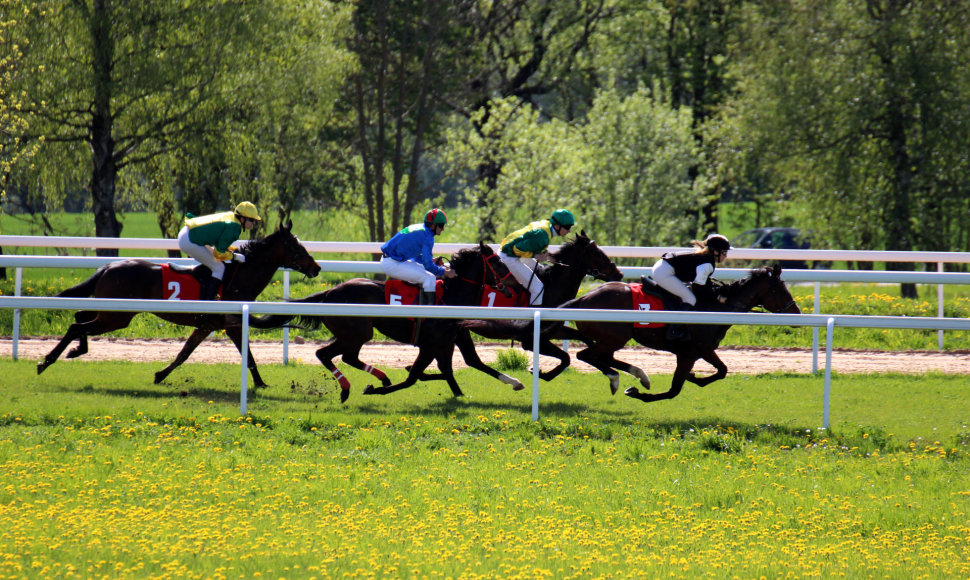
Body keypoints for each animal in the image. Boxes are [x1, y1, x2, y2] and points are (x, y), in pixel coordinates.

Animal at [36, 221, 322, 386]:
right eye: (296, 247)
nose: (316, 268)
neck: (238, 277)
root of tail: (108, 267)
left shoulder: (208, 325)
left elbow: (186, 352)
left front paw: (160, 375)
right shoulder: (231, 324)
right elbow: (247, 356)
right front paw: (261, 384)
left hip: (110, 310)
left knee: (79, 316)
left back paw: (76, 350)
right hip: (118, 315)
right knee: (77, 325)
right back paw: (46, 361)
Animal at [253, 242, 520, 402]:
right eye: (498, 263)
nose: (516, 286)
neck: (451, 296)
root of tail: (329, 293)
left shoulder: (449, 340)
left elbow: (465, 365)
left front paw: (513, 383)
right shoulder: (431, 345)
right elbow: (414, 377)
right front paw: (376, 389)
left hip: (357, 335)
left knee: (347, 357)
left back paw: (379, 378)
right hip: (356, 333)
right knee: (325, 354)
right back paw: (349, 388)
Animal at [420, 231, 624, 390]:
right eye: (596, 253)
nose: (619, 274)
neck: (551, 287)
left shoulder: (555, 329)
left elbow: (585, 341)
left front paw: (610, 369)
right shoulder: (530, 339)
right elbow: (566, 357)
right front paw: (539, 372)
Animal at [556, 266, 796, 402]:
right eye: (780, 289)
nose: (796, 312)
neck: (715, 307)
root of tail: (584, 298)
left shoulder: (701, 351)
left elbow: (722, 371)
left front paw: (694, 377)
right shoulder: (690, 353)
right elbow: (675, 390)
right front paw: (636, 393)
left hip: (612, 339)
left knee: (601, 356)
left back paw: (639, 375)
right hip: (614, 337)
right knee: (586, 355)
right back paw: (618, 379)